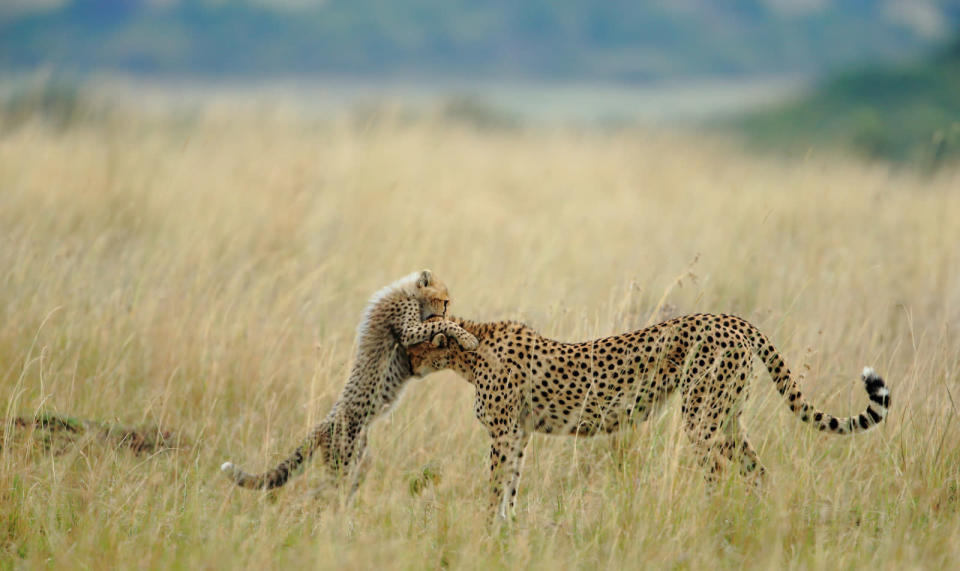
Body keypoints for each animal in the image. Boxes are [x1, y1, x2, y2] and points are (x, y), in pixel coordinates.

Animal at [406, 316, 892, 520]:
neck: (469, 348)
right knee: (757, 471)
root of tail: (735, 319)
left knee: (717, 472)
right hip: (727, 418)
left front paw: (489, 530)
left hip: (701, 416)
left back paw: (709, 521)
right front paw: (504, 530)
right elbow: (510, 486)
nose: (405, 364)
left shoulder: (505, 433)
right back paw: (755, 520)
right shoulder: (520, 434)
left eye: (412, 344)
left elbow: (496, 487)